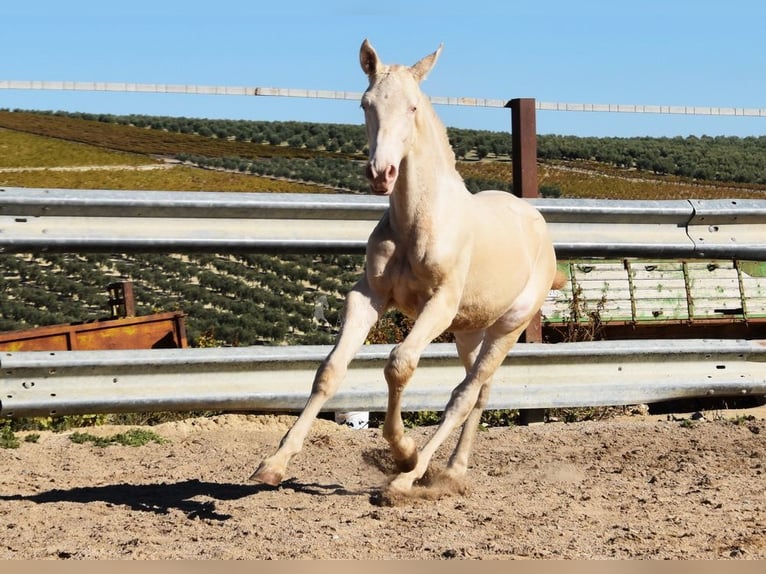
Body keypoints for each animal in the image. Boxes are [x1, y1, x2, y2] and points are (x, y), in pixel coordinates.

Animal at [255, 41, 560, 500]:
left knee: (463, 394)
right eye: (366, 104)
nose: (381, 173)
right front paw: (273, 464)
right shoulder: (369, 296)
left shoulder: (440, 305)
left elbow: (399, 363)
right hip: (470, 330)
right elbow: (330, 370)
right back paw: (452, 471)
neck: (419, 220)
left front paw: (404, 453)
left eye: (413, 107)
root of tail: (536, 222)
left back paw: (409, 478)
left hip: (508, 325)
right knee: (480, 391)